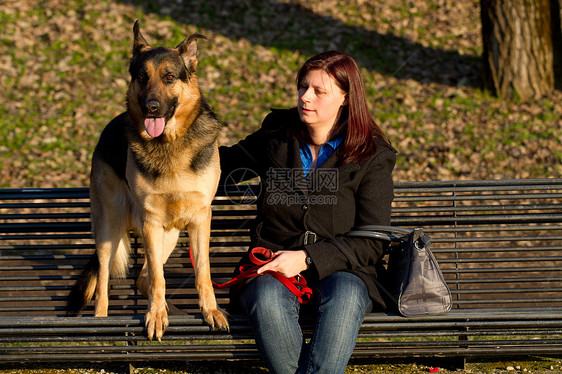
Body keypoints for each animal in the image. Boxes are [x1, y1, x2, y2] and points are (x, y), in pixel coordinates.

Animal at [66, 21, 229, 342]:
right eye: (142, 77)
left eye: (169, 77)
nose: (151, 107)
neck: (170, 143)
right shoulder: (152, 221)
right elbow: (157, 278)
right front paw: (155, 315)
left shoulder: (200, 219)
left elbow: (202, 273)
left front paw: (210, 310)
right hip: (110, 229)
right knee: (105, 283)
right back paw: (102, 320)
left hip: (170, 235)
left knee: (142, 279)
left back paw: (173, 309)